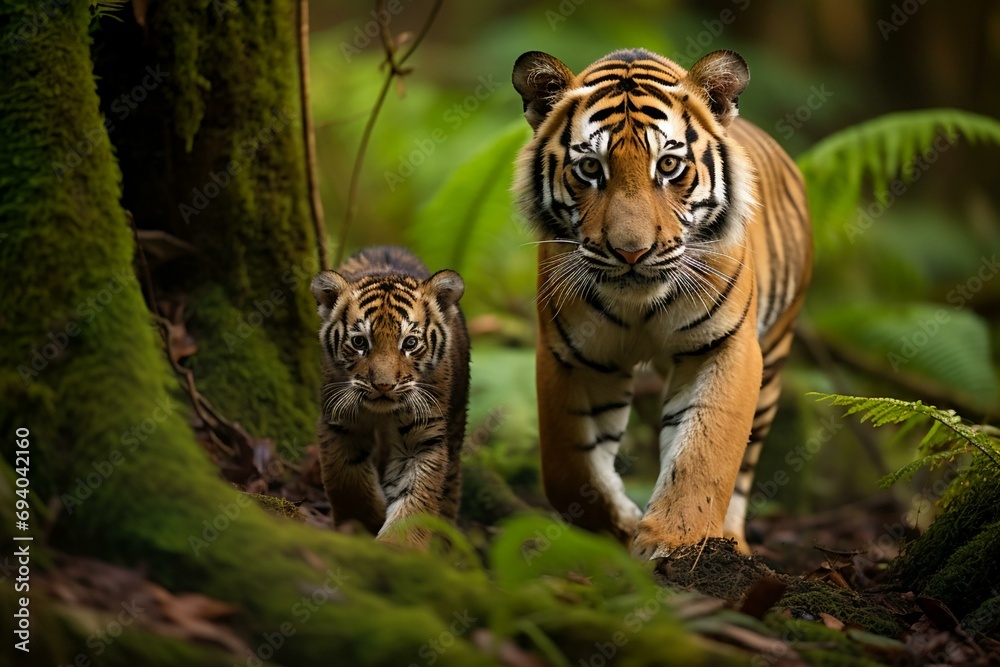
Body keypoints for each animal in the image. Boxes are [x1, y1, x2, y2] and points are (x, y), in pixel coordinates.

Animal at [310, 246, 470, 548]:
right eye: (359, 342)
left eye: (410, 343)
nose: (383, 386)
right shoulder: (339, 422)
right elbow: (347, 480)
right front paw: (363, 525)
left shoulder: (423, 436)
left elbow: (416, 500)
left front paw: (398, 548)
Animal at [511, 48, 812, 558]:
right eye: (590, 169)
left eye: (668, 166)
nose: (631, 252)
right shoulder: (573, 355)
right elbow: (567, 471)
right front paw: (621, 525)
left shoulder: (724, 347)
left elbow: (703, 454)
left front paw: (674, 541)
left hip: (774, 356)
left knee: (745, 465)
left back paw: (732, 540)